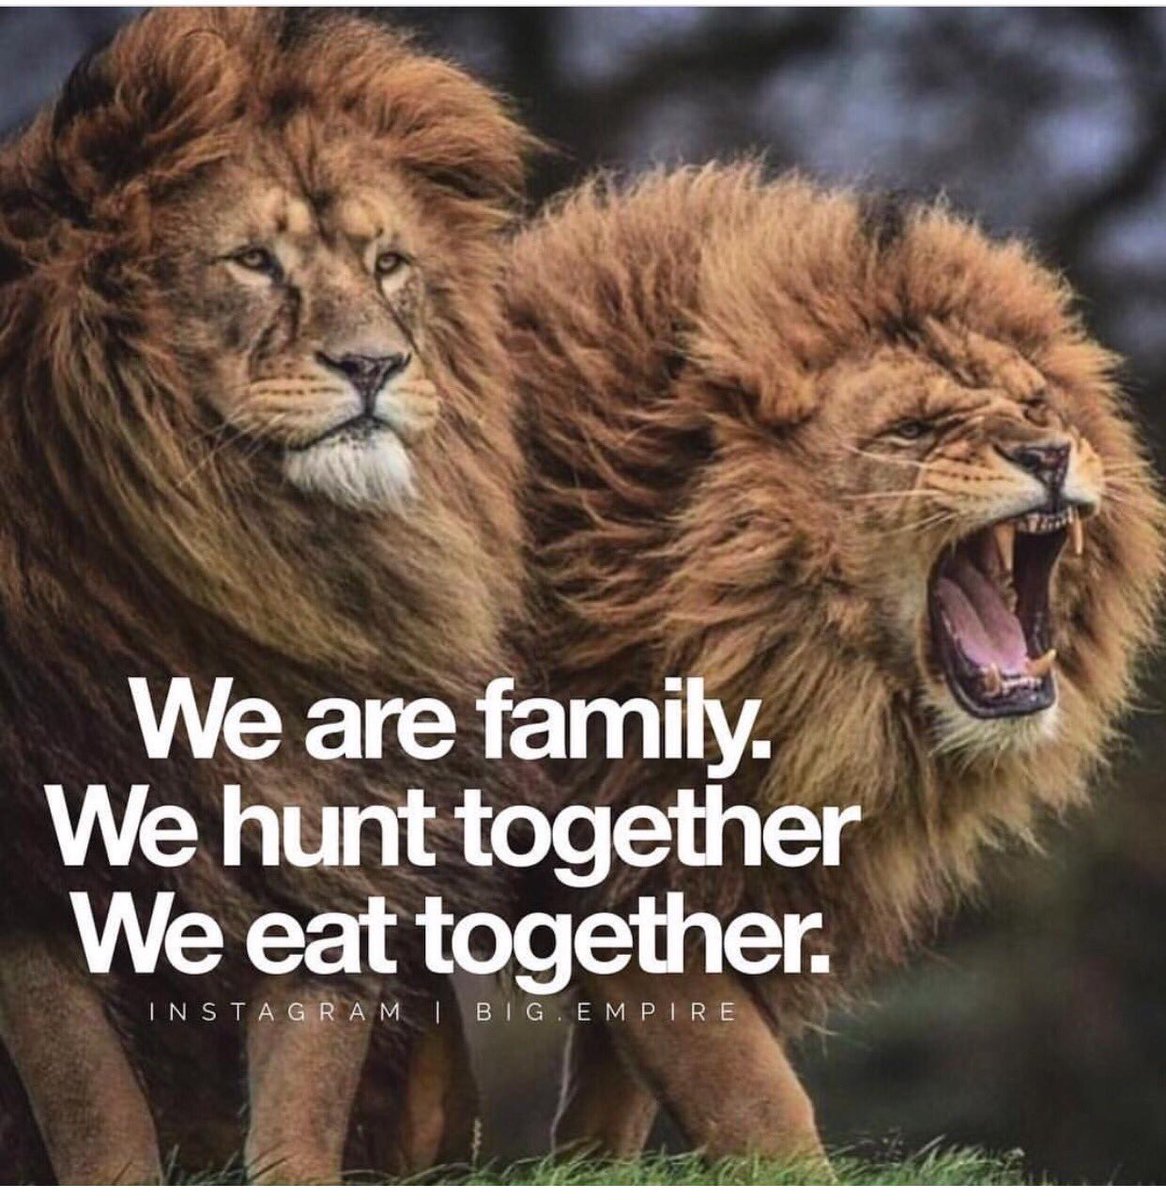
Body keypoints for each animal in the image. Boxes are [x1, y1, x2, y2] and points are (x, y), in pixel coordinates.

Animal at [0, 7, 537, 1183]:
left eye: (390, 264)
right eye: (252, 260)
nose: (377, 365)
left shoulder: (321, 829)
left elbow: (301, 1090)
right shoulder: (27, 867)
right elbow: (90, 1098)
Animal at [506, 165, 1164, 1162]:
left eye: (1037, 406)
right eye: (918, 428)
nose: (1049, 453)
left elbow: (612, 1096)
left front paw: (579, 1172)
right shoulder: (607, 836)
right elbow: (746, 1086)